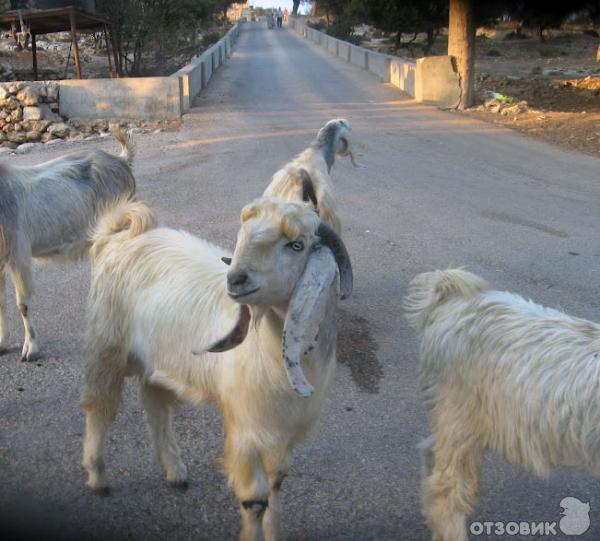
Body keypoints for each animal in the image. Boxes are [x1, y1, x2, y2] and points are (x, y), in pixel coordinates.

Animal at [79, 196, 352, 536]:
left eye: (297, 245)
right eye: (242, 236)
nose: (235, 279)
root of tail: (116, 237)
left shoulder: (284, 431)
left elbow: (276, 487)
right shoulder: (247, 430)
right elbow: (255, 500)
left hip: (156, 360)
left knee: (155, 408)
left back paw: (175, 473)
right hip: (106, 345)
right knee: (99, 410)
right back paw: (97, 477)